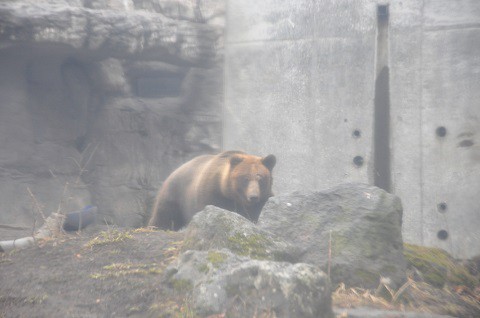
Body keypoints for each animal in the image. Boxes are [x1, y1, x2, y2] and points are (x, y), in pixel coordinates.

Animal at [149, 150, 278, 230]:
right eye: (245, 178)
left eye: (260, 178)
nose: (253, 196)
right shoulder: (211, 193)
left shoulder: (262, 200)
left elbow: (254, 215)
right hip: (175, 193)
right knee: (164, 213)